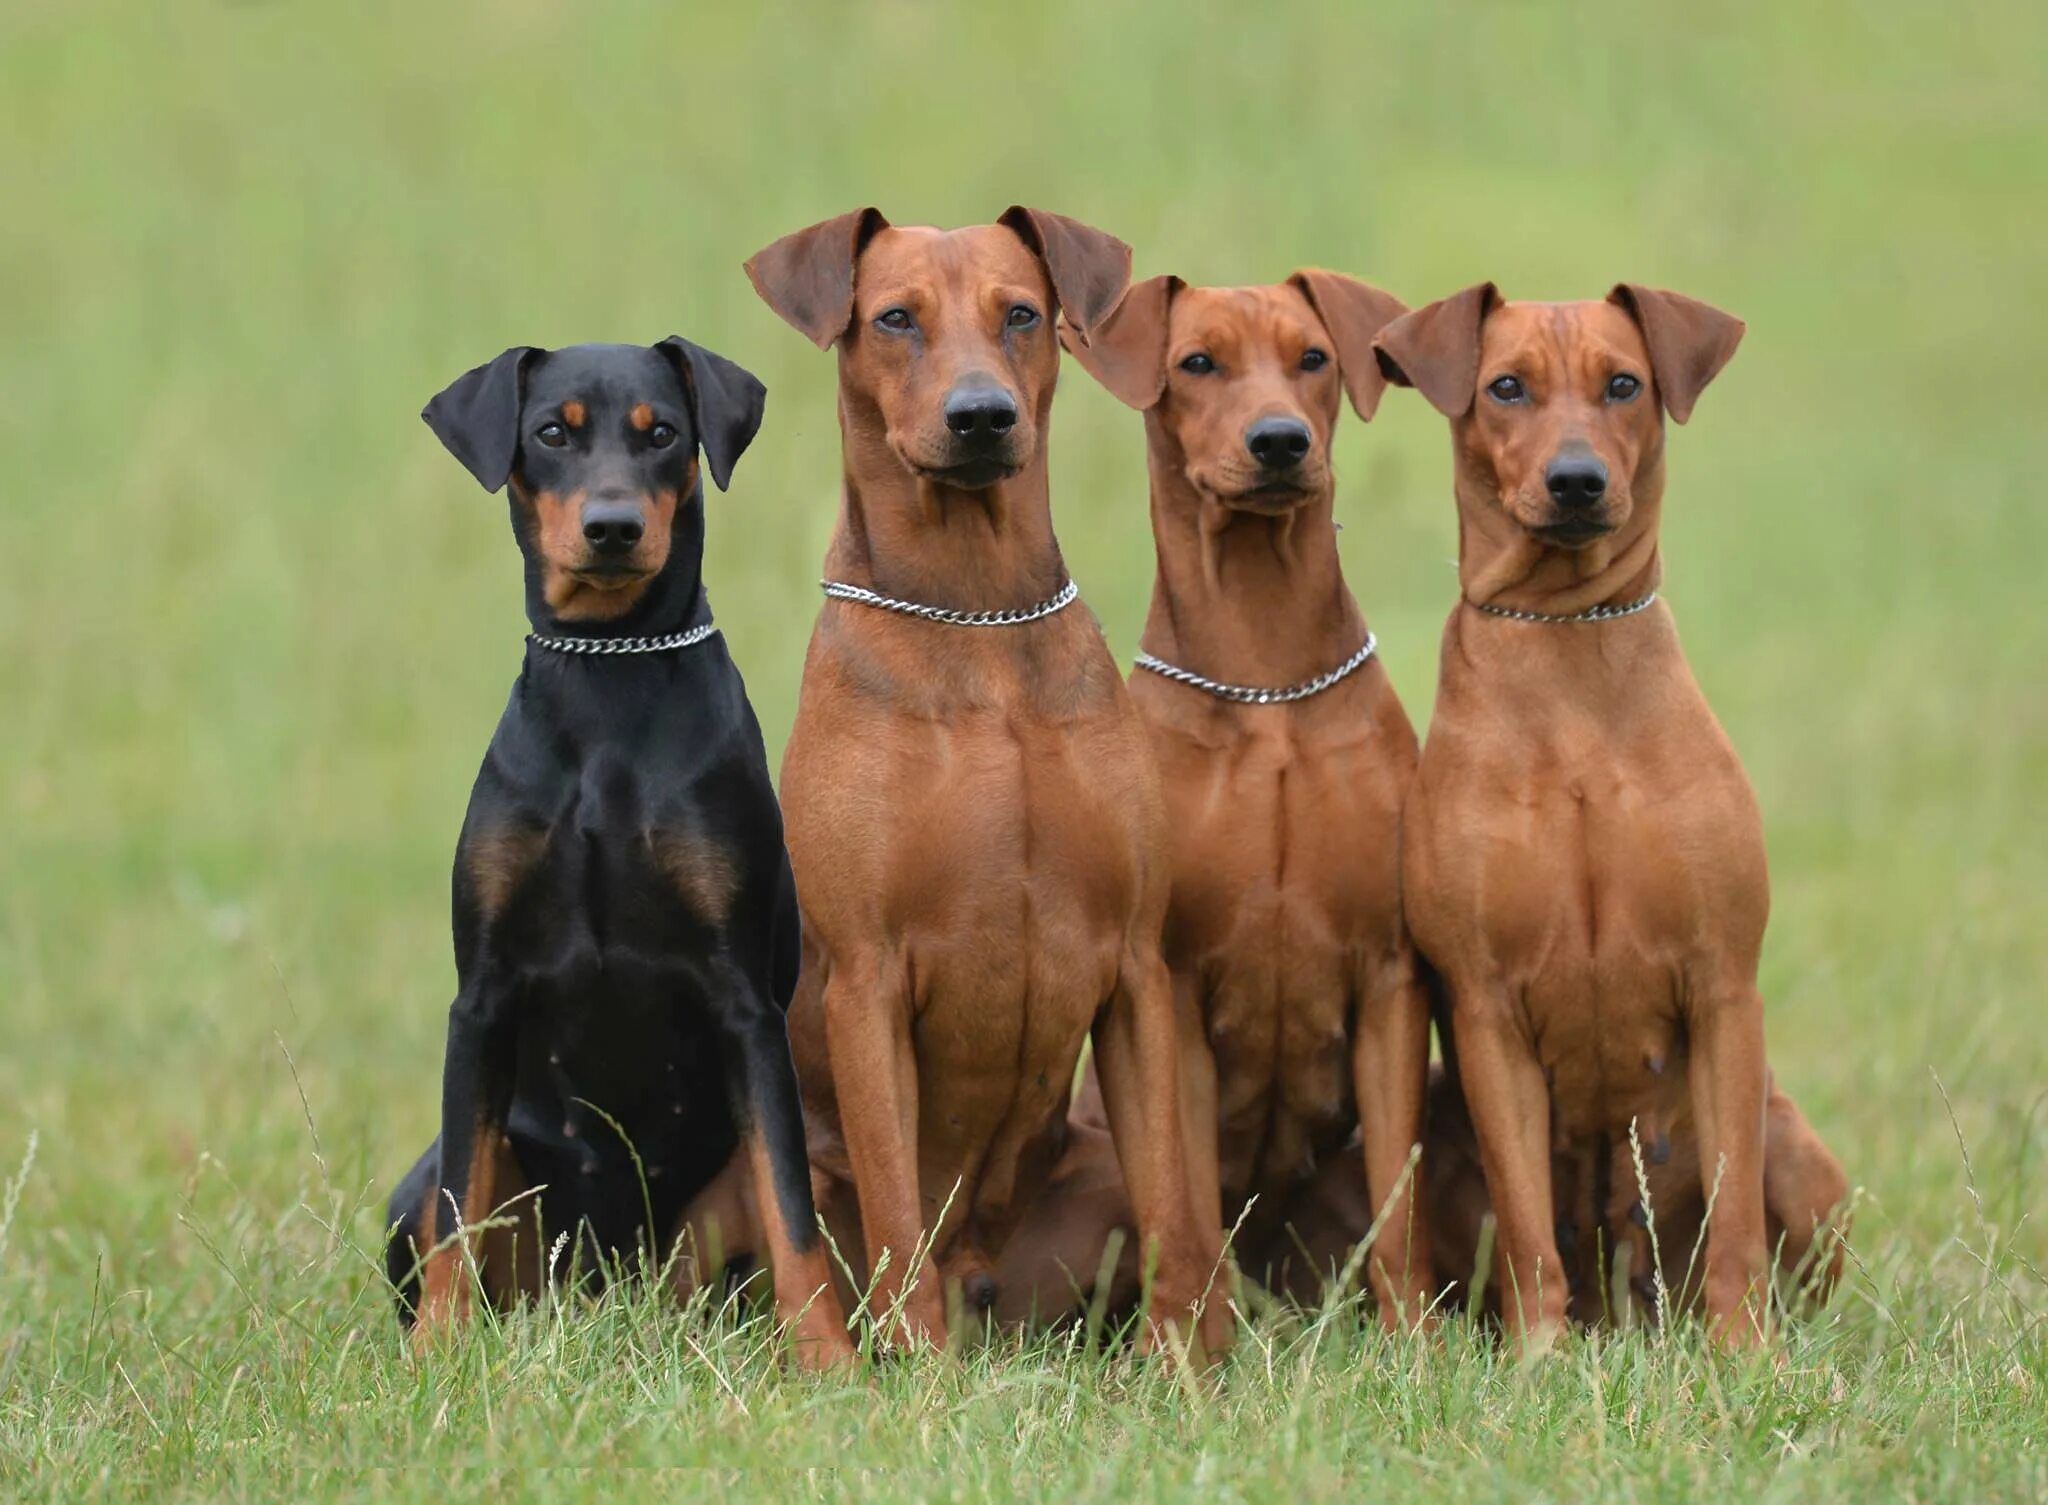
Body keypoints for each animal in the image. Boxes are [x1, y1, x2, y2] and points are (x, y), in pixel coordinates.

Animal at [387, 335, 851, 1367]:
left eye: (664, 433)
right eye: (552, 433)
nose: (611, 527)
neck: (607, 682)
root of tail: (605, 1283)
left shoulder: (745, 1003)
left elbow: (793, 1211)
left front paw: (829, 1359)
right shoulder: (481, 997)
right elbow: (458, 1212)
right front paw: (436, 1352)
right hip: (436, 1186)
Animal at [753, 208, 1228, 1351]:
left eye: (1019, 314)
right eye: (893, 318)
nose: (981, 417)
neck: (975, 620)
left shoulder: (1135, 969)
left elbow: (1173, 1220)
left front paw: (1183, 1372)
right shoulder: (866, 979)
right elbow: (895, 1225)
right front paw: (919, 1379)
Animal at [1064, 274, 1433, 1326]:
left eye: (1313, 358)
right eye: (1197, 362)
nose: (1279, 441)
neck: (1267, 682)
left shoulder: (1390, 978)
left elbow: (1401, 1217)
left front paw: (1418, 1344)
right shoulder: (1175, 989)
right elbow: (1184, 1203)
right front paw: (1197, 1347)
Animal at [1368, 288, 1851, 1351]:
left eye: (1624, 384)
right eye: (1506, 387)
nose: (1578, 481)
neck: (1566, 648)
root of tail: (1626, 1304)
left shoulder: (1722, 986)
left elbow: (1736, 1220)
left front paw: (1749, 1357)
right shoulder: (1487, 1008)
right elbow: (1526, 1231)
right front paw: (1539, 1359)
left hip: (1797, 1149)